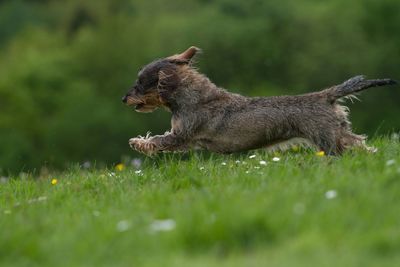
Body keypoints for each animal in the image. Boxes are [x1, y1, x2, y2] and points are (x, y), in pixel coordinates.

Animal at [122, 46, 396, 156]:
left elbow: (158, 140)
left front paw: (136, 142)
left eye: (139, 82)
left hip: (327, 139)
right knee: (360, 144)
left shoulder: (181, 136)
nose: (124, 98)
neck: (192, 97)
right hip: (338, 133)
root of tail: (325, 95)